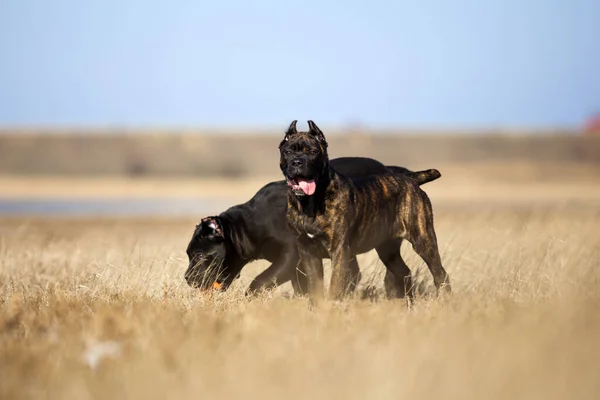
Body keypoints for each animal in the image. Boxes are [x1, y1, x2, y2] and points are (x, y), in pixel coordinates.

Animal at [184, 156, 440, 296]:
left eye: (199, 255)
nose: (187, 278)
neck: (248, 226)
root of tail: (401, 173)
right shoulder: (299, 265)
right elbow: (304, 287)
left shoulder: (289, 257)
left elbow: (260, 281)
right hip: (382, 245)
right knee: (398, 272)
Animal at [280, 120, 450, 302]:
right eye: (288, 152)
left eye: (313, 151)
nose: (297, 162)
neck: (310, 202)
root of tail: (411, 179)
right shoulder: (308, 252)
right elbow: (314, 288)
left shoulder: (339, 251)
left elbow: (335, 286)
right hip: (387, 247)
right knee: (403, 272)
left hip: (423, 240)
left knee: (440, 273)